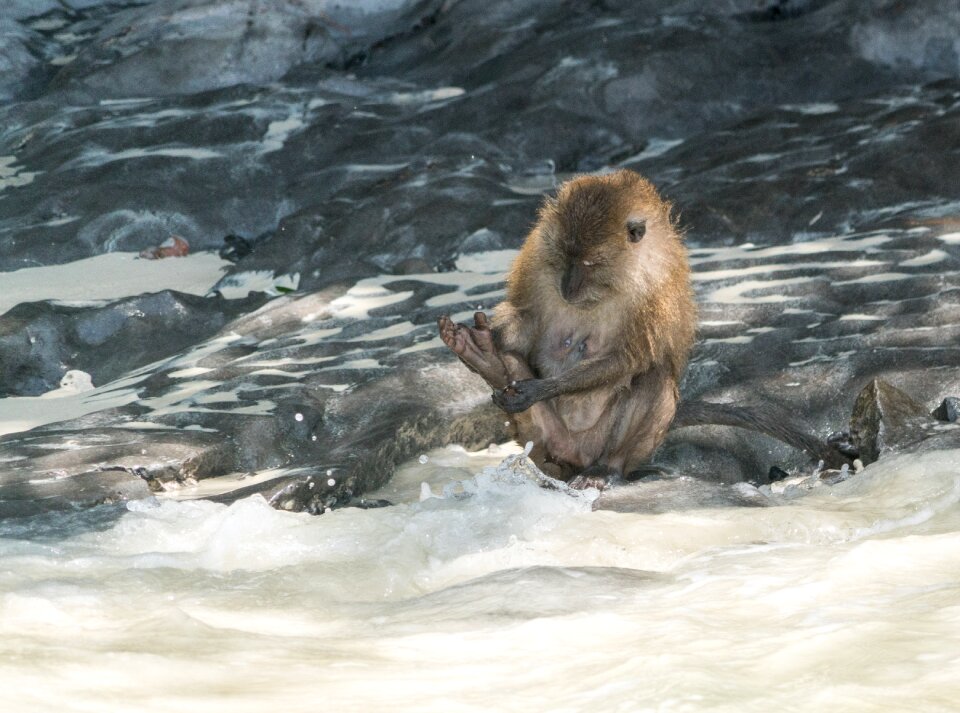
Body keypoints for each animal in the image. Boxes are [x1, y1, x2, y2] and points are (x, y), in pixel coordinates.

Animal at [438, 170, 844, 486]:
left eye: (590, 262)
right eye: (565, 257)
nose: (567, 288)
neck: (615, 276)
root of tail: (572, 454)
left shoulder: (655, 285)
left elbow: (630, 359)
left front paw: (538, 388)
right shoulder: (537, 255)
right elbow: (526, 320)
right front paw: (489, 339)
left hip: (612, 446)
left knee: (653, 377)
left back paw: (606, 469)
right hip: (540, 439)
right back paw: (486, 359)